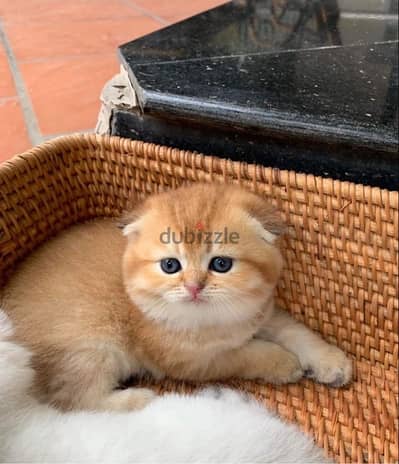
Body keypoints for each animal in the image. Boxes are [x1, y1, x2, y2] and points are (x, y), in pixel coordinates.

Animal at [3, 183, 354, 412]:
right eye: (170, 266)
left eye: (221, 264)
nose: (194, 287)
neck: (217, 320)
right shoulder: (192, 361)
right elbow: (244, 355)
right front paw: (282, 362)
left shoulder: (261, 310)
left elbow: (293, 329)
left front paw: (329, 360)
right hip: (91, 345)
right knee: (75, 403)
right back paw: (137, 399)